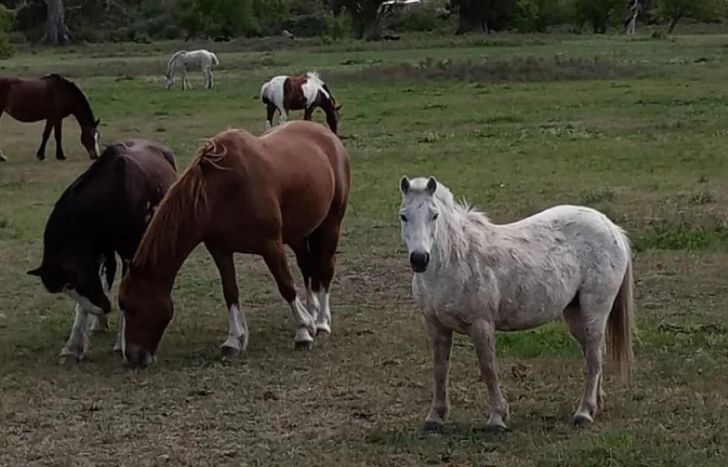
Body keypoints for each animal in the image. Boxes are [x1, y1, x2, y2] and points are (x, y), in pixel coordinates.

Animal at [27, 140, 177, 362]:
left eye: (71, 283)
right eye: (66, 288)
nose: (103, 307)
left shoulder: (130, 253)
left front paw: (122, 342)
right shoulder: (98, 252)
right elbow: (86, 301)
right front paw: (74, 346)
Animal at [118, 120, 350, 367]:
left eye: (132, 307)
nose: (133, 357)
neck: (222, 191)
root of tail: (327, 134)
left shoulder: (271, 245)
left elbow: (286, 285)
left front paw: (304, 332)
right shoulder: (220, 250)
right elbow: (230, 291)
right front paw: (233, 341)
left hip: (331, 224)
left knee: (325, 268)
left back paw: (321, 322)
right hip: (298, 233)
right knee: (307, 267)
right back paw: (312, 310)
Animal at [398, 176, 635, 432]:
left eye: (434, 215)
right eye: (403, 216)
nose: (420, 259)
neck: (455, 259)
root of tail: (611, 228)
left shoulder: (481, 324)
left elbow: (488, 368)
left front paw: (497, 418)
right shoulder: (435, 325)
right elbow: (440, 369)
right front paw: (435, 417)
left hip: (595, 311)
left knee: (594, 357)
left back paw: (584, 412)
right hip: (574, 312)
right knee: (595, 353)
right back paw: (596, 404)